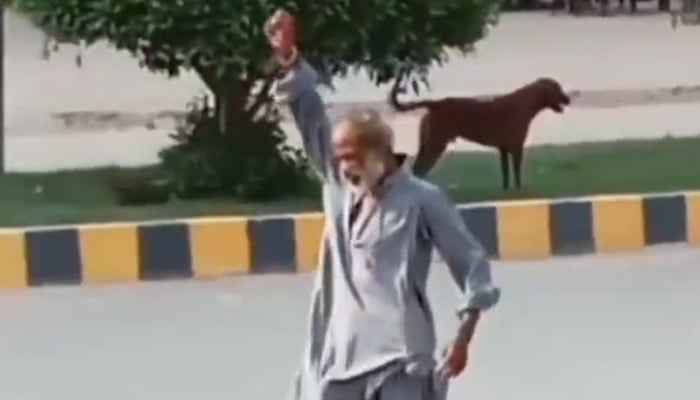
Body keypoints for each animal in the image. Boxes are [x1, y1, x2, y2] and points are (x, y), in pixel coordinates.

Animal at [388, 78, 568, 191]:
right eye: (557, 88)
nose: (568, 99)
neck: (526, 103)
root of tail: (435, 104)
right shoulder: (517, 148)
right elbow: (517, 174)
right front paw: (520, 191)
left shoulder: (504, 150)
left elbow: (506, 176)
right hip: (436, 144)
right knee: (420, 169)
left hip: (427, 144)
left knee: (417, 169)